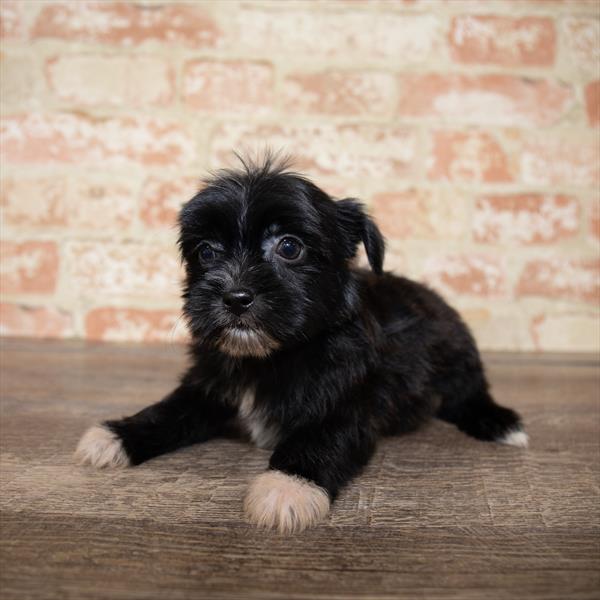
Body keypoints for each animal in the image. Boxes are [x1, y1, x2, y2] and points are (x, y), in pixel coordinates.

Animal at [77, 156, 528, 536]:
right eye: (205, 252)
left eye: (290, 247)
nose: (234, 297)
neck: (269, 356)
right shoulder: (210, 385)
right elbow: (170, 410)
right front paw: (116, 435)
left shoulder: (350, 399)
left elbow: (321, 437)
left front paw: (287, 486)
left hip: (456, 355)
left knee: (467, 395)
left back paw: (498, 421)